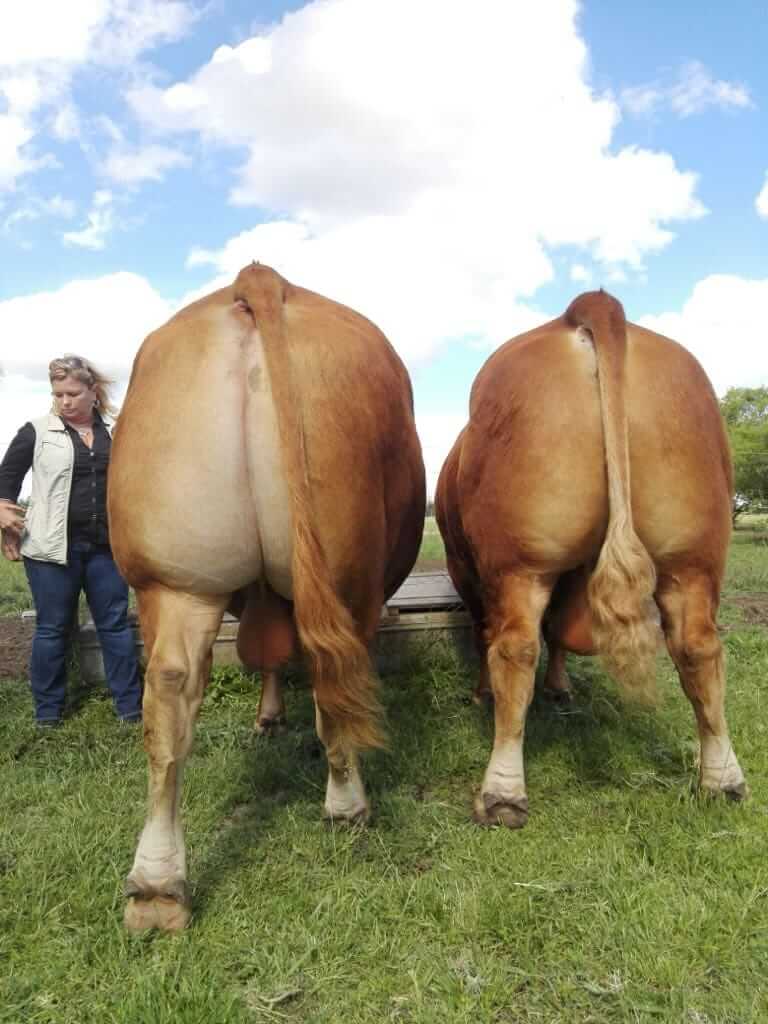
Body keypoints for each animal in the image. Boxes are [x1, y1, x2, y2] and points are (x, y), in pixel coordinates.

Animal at [108, 262, 428, 929]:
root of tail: (260, 279)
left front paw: (269, 716)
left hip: (175, 580)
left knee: (169, 694)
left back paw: (157, 886)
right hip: (347, 578)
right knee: (335, 673)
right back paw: (347, 802)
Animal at [436, 288, 749, 831]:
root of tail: (591, 305)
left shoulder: (466, 566)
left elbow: (492, 634)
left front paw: (485, 692)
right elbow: (561, 631)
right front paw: (560, 689)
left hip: (519, 561)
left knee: (515, 647)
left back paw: (502, 794)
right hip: (693, 556)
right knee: (699, 648)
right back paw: (723, 780)